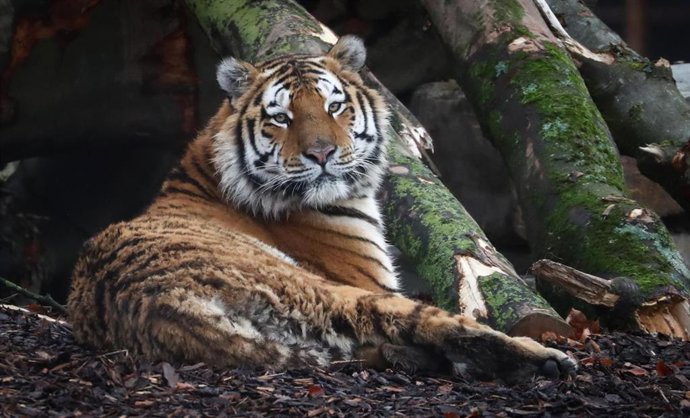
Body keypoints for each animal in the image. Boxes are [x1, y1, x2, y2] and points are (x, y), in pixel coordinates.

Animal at [67, 36, 576, 382]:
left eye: (334, 107)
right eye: (281, 117)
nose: (322, 153)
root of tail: (157, 303)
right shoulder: (369, 279)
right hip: (335, 292)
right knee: (443, 327)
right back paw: (545, 358)